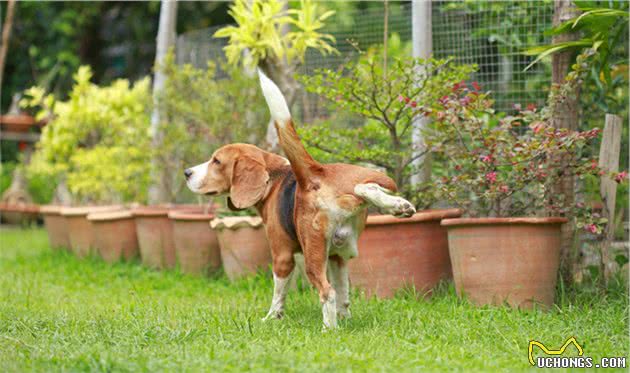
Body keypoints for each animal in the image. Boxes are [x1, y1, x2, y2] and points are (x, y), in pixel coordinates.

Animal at [185, 70, 418, 328]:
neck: (274, 178)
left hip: (311, 254)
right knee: (366, 188)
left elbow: (279, 294)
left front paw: (272, 318)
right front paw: (345, 318)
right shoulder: (336, 257)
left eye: (216, 161)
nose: (187, 173)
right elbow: (344, 295)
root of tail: (314, 173)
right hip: (361, 198)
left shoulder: (282, 256)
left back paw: (329, 329)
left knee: (327, 291)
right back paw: (396, 205)